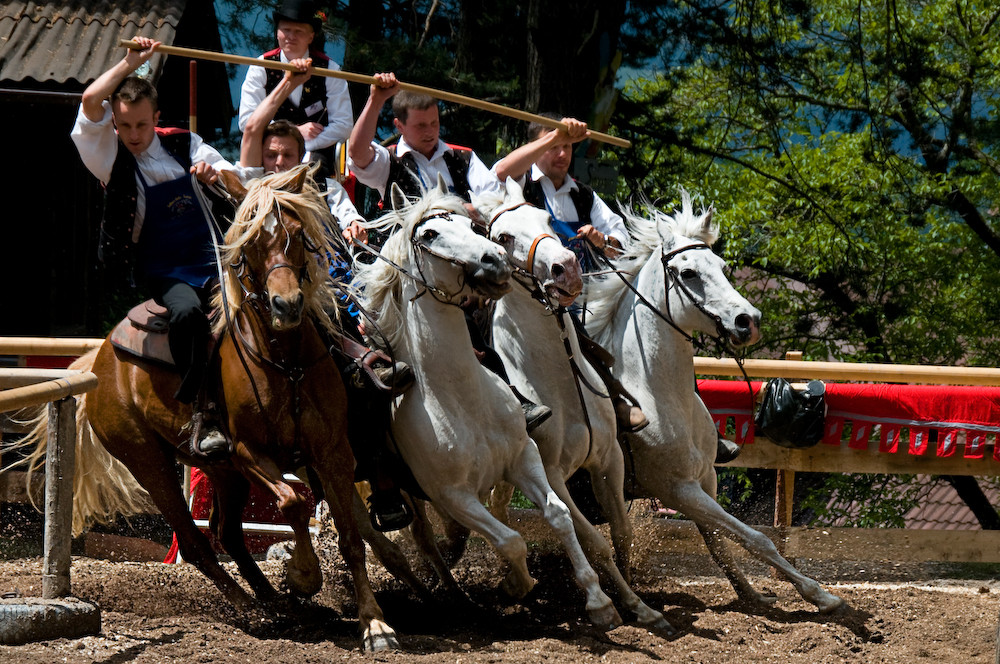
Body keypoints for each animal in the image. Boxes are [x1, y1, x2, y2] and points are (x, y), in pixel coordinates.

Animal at [15, 163, 396, 652]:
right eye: (249, 245)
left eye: (297, 233)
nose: (287, 305)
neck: (285, 361)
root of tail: (101, 356)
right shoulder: (249, 453)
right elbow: (293, 502)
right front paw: (304, 574)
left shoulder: (332, 453)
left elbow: (350, 537)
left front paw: (375, 623)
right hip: (150, 462)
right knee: (197, 543)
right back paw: (254, 611)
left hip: (220, 470)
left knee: (226, 533)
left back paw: (277, 604)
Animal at [348, 179, 620, 632]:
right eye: (429, 234)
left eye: (473, 227)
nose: (494, 262)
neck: (461, 397)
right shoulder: (454, 496)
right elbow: (511, 541)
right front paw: (518, 585)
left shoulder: (524, 457)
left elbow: (559, 515)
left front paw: (599, 601)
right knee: (399, 539)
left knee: (430, 540)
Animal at [466, 182, 672, 632]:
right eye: (502, 237)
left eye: (547, 220)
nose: (567, 269)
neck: (561, 380)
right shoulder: (553, 474)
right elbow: (592, 540)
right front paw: (606, 604)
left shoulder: (609, 460)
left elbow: (621, 532)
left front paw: (640, 602)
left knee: (498, 507)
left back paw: (514, 580)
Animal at [584, 191, 844, 612]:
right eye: (688, 273)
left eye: (722, 267)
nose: (748, 320)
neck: (656, 394)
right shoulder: (677, 489)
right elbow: (756, 538)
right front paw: (819, 594)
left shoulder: (706, 478)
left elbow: (721, 544)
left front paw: (752, 594)